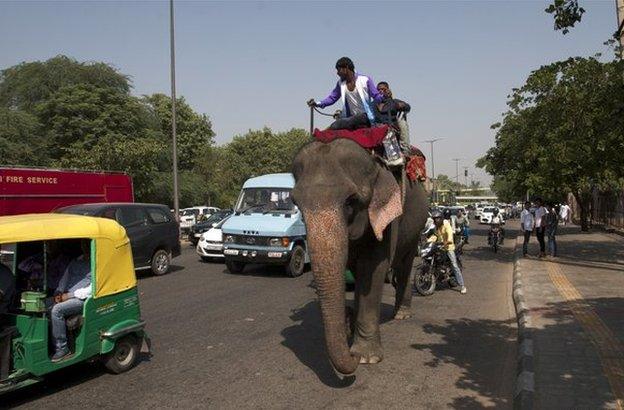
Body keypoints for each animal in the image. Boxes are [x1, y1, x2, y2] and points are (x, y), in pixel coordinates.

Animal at [292, 139, 428, 376]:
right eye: (297, 204)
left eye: (350, 203)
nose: (351, 355)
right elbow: (355, 270)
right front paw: (352, 330)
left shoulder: (387, 220)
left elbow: (373, 268)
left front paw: (365, 357)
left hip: (415, 229)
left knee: (405, 264)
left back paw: (401, 314)